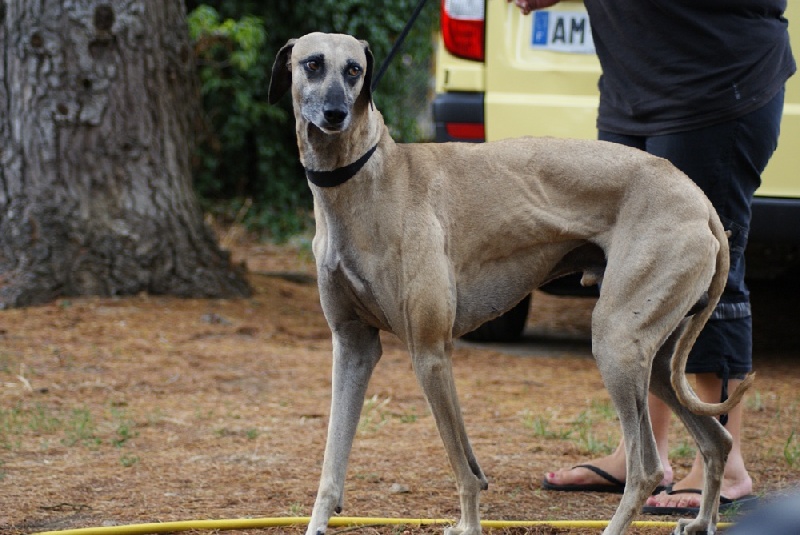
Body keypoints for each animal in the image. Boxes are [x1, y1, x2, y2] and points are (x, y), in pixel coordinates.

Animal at [268, 32, 752, 535]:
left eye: (354, 70)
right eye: (313, 64)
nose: (335, 115)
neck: (365, 178)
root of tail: (699, 198)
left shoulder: (430, 353)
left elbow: (462, 468)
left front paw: (468, 525)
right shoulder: (353, 348)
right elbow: (334, 461)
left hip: (617, 343)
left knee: (647, 469)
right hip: (654, 360)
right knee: (716, 440)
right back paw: (701, 521)